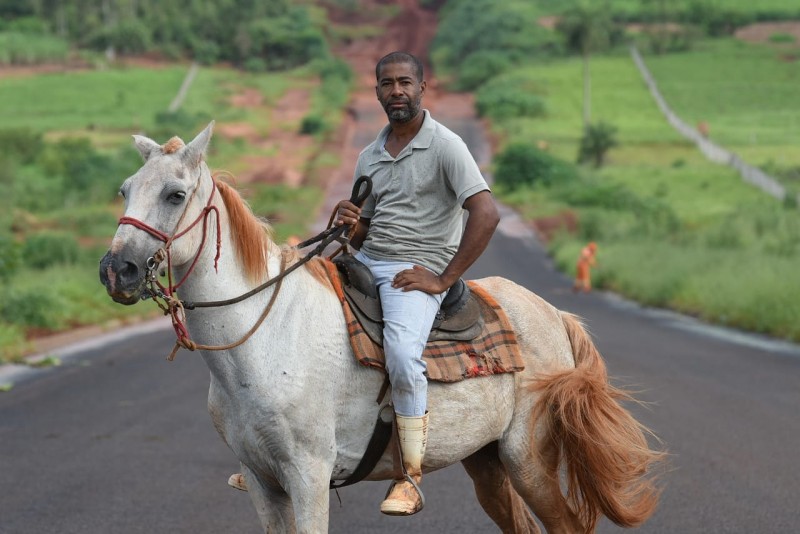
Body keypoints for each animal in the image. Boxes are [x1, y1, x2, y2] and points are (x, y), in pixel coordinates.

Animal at [100, 123, 664, 534]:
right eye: (125, 190)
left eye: (175, 195)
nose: (115, 270)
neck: (262, 341)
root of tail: (554, 316)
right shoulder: (262, 483)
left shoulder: (308, 475)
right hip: (486, 461)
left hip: (528, 460)